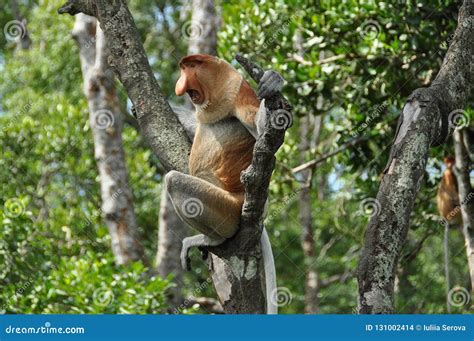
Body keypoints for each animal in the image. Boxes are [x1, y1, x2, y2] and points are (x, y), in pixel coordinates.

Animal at [165, 53, 284, 314]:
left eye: (191, 67)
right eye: (183, 68)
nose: (179, 83)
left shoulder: (236, 89)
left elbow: (258, 126)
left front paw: (273, 81)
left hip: (227, 206)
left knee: (173, 180)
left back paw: (212, 240)